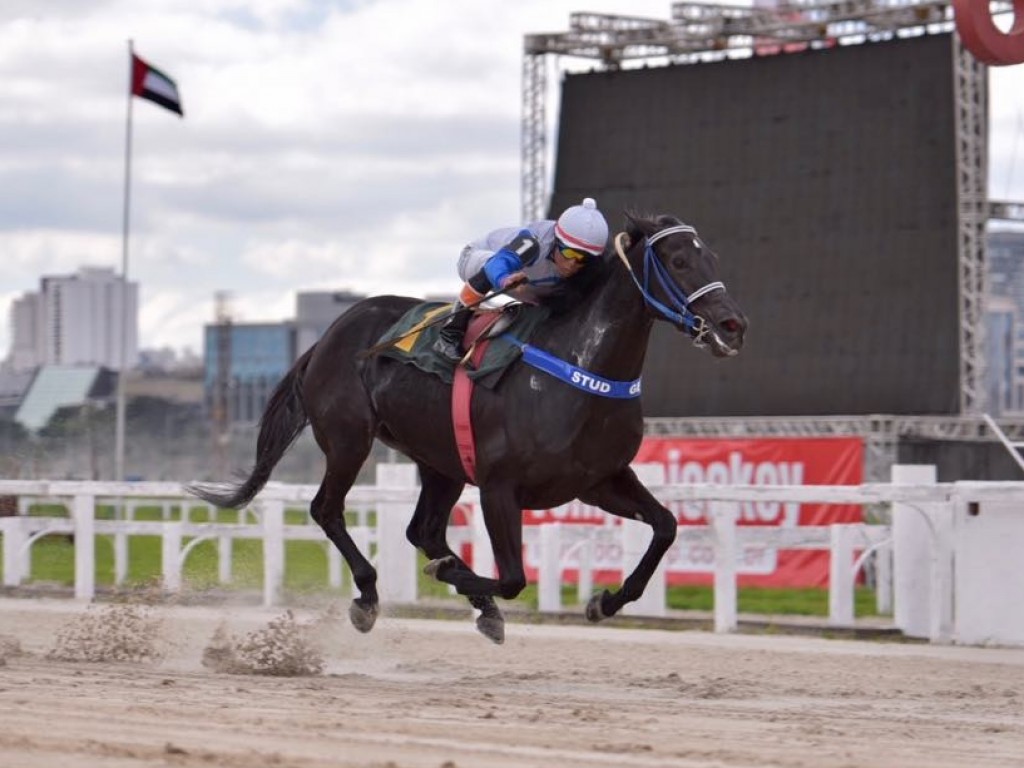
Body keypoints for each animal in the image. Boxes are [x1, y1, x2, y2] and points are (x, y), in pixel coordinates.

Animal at [192, 210, 749, 643]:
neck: (577, 367)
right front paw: (459, 579)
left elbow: (665, 526)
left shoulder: (598, 480)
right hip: (350, 440)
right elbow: (514, 577)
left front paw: (603, 601)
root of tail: (328, 335)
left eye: (713, 259)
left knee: (422, 529)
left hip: (439, 459)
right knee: (327, 510)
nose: (732, 326)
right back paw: (370, 595)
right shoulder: (500, 486)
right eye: (678, 261)